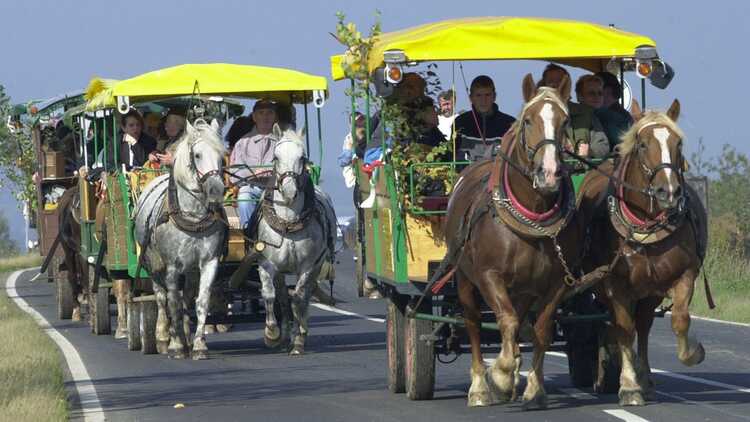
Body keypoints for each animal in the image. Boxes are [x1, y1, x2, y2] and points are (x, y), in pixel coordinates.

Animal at [134, 119, 226, 360]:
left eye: (222, 155)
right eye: (197, 155)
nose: (216, 190)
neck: (192, 217)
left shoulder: (209, 262)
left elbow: (200, 301)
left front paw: (199, 345)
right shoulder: (172, 266)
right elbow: (172, 302)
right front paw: (175, 345)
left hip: (191, 269)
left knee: (187, 297)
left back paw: (186, 336)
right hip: (153, 264)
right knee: (161, 297)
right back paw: (163, 337)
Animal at [444, 73, 584, 408]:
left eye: (565, 120)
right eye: (529, 120)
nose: (549, 174)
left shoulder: (557, 282)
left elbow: (540, 330)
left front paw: (533, 388)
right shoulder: (488, 275)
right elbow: (505, 322)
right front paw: (501, 375)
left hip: (523, 288)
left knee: (520, 322)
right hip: (465, 278)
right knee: (474, 323)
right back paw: (480, 387)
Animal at [580, 100, 708, 408]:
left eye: (678, 143)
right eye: (642, 144)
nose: (668, 191)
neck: (646, 225)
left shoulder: (683, 275)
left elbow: (680, 319)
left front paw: (693, 353)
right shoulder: (615, 284)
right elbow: (624, 329)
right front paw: (628, 387)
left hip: (650, 291)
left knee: (645, 324)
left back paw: (645, 377)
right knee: (618, 325)